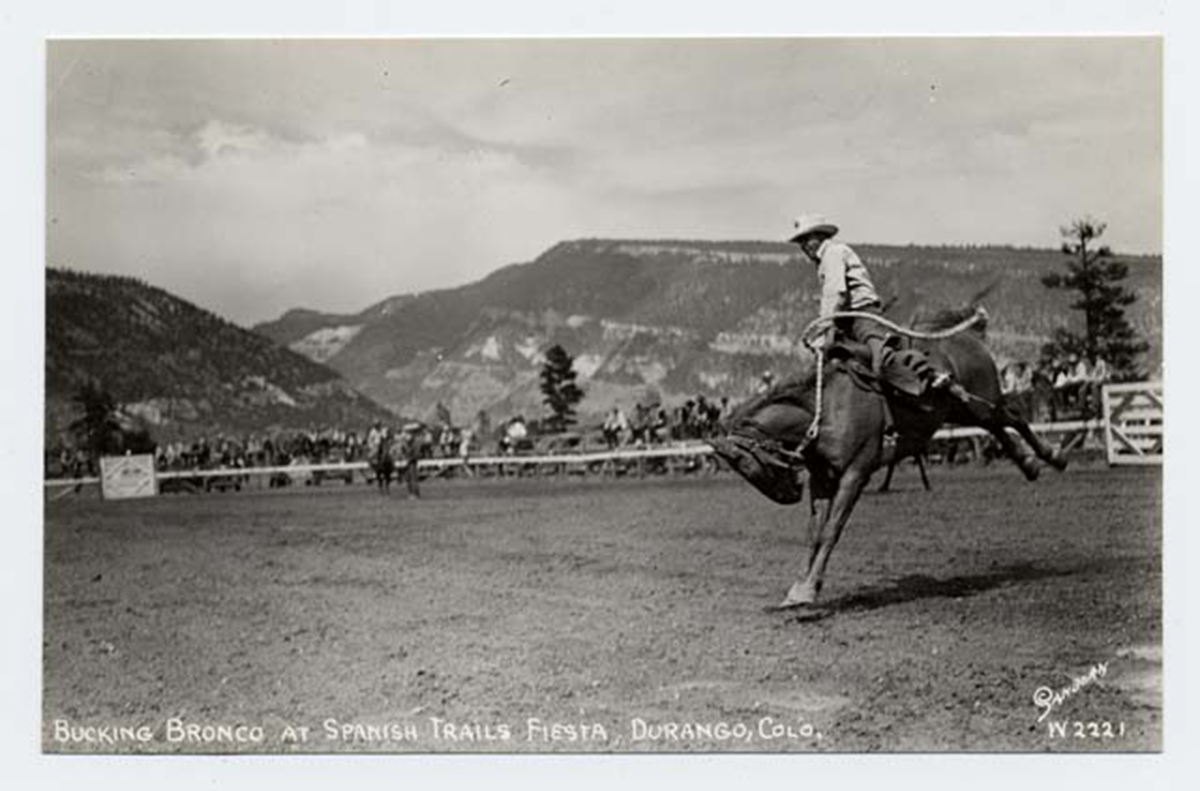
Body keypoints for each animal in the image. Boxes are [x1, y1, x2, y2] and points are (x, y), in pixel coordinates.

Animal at [705, 306, 1065, 609]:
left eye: (751, 463)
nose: (787, 495)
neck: (826, 410)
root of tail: (968, 337)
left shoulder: (855, 475)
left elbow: (831, 530)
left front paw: (809, 589)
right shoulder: (822, 480)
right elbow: (814, 533)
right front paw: (800, 587)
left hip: (982, 402)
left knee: (1014, 417)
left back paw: (1053, 456)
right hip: (963, 410)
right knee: (1001, 427)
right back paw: (1031, 465)